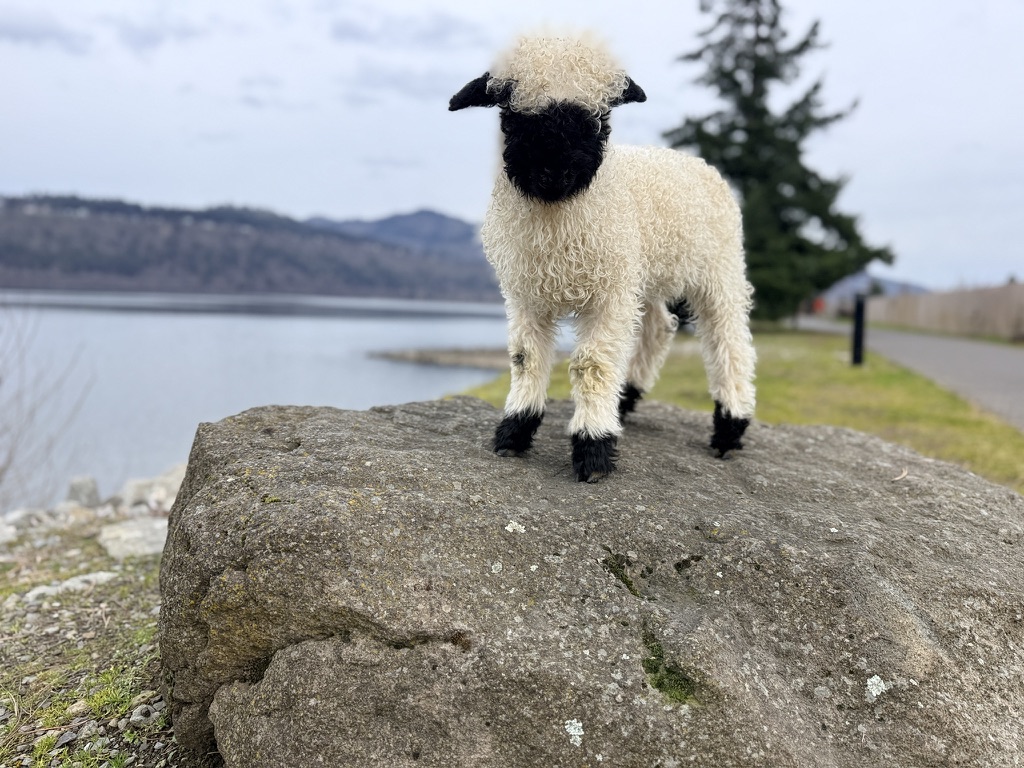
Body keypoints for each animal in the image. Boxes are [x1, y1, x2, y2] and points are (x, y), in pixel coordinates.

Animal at [450, 32, 756, 482]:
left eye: (595, 119)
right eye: (514, 116)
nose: (553, 172)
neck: (557, 221)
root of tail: (695, 162)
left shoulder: (608, 294)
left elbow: (590, 364)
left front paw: (592, 450)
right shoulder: (527, 293)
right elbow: (525, 357)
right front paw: (514, 432)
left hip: (718, 268)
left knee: (729, 339)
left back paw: (729, 428)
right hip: (643, 274)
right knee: (658, 326)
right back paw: (626, 399)